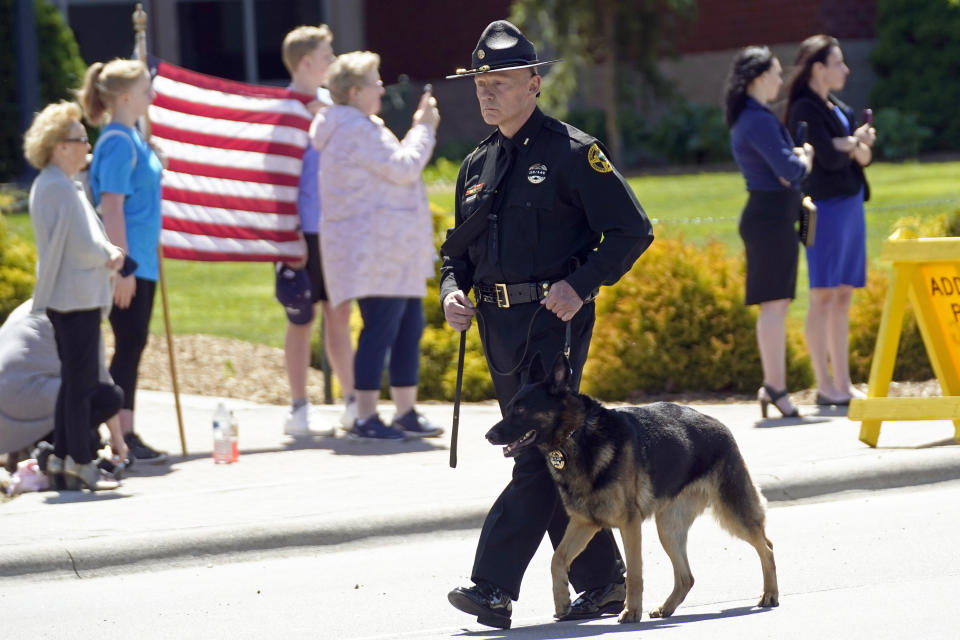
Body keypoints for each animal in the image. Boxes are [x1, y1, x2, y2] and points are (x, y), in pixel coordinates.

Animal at [488, 352, 780, 624]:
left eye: (521, 410)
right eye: (510, 406)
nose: (488, 436)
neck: (578, 434)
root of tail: (717, 423)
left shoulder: (629, 524)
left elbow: (635, 573)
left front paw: (630, 611)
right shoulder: (585, 523)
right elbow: (556, 560)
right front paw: (562, 601)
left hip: (733, 513)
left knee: (766, 547)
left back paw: (770, 594)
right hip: (668, 529)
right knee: (686, 577)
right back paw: (667, 608)